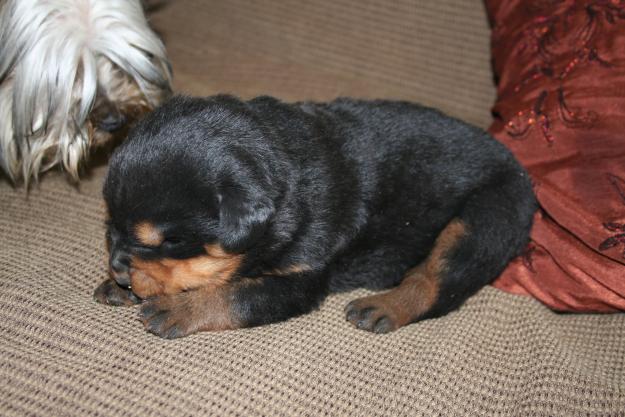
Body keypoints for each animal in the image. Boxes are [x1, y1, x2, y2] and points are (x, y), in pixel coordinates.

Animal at [94, 94, 536, 338]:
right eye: (111, 227)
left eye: (169, 242)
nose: (118, 268)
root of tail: (520, 171)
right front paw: (121, 286)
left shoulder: (302, 276)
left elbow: (236, 294)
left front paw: (180, 307)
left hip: (485, 218)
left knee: (436, 281)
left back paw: (384, 307)